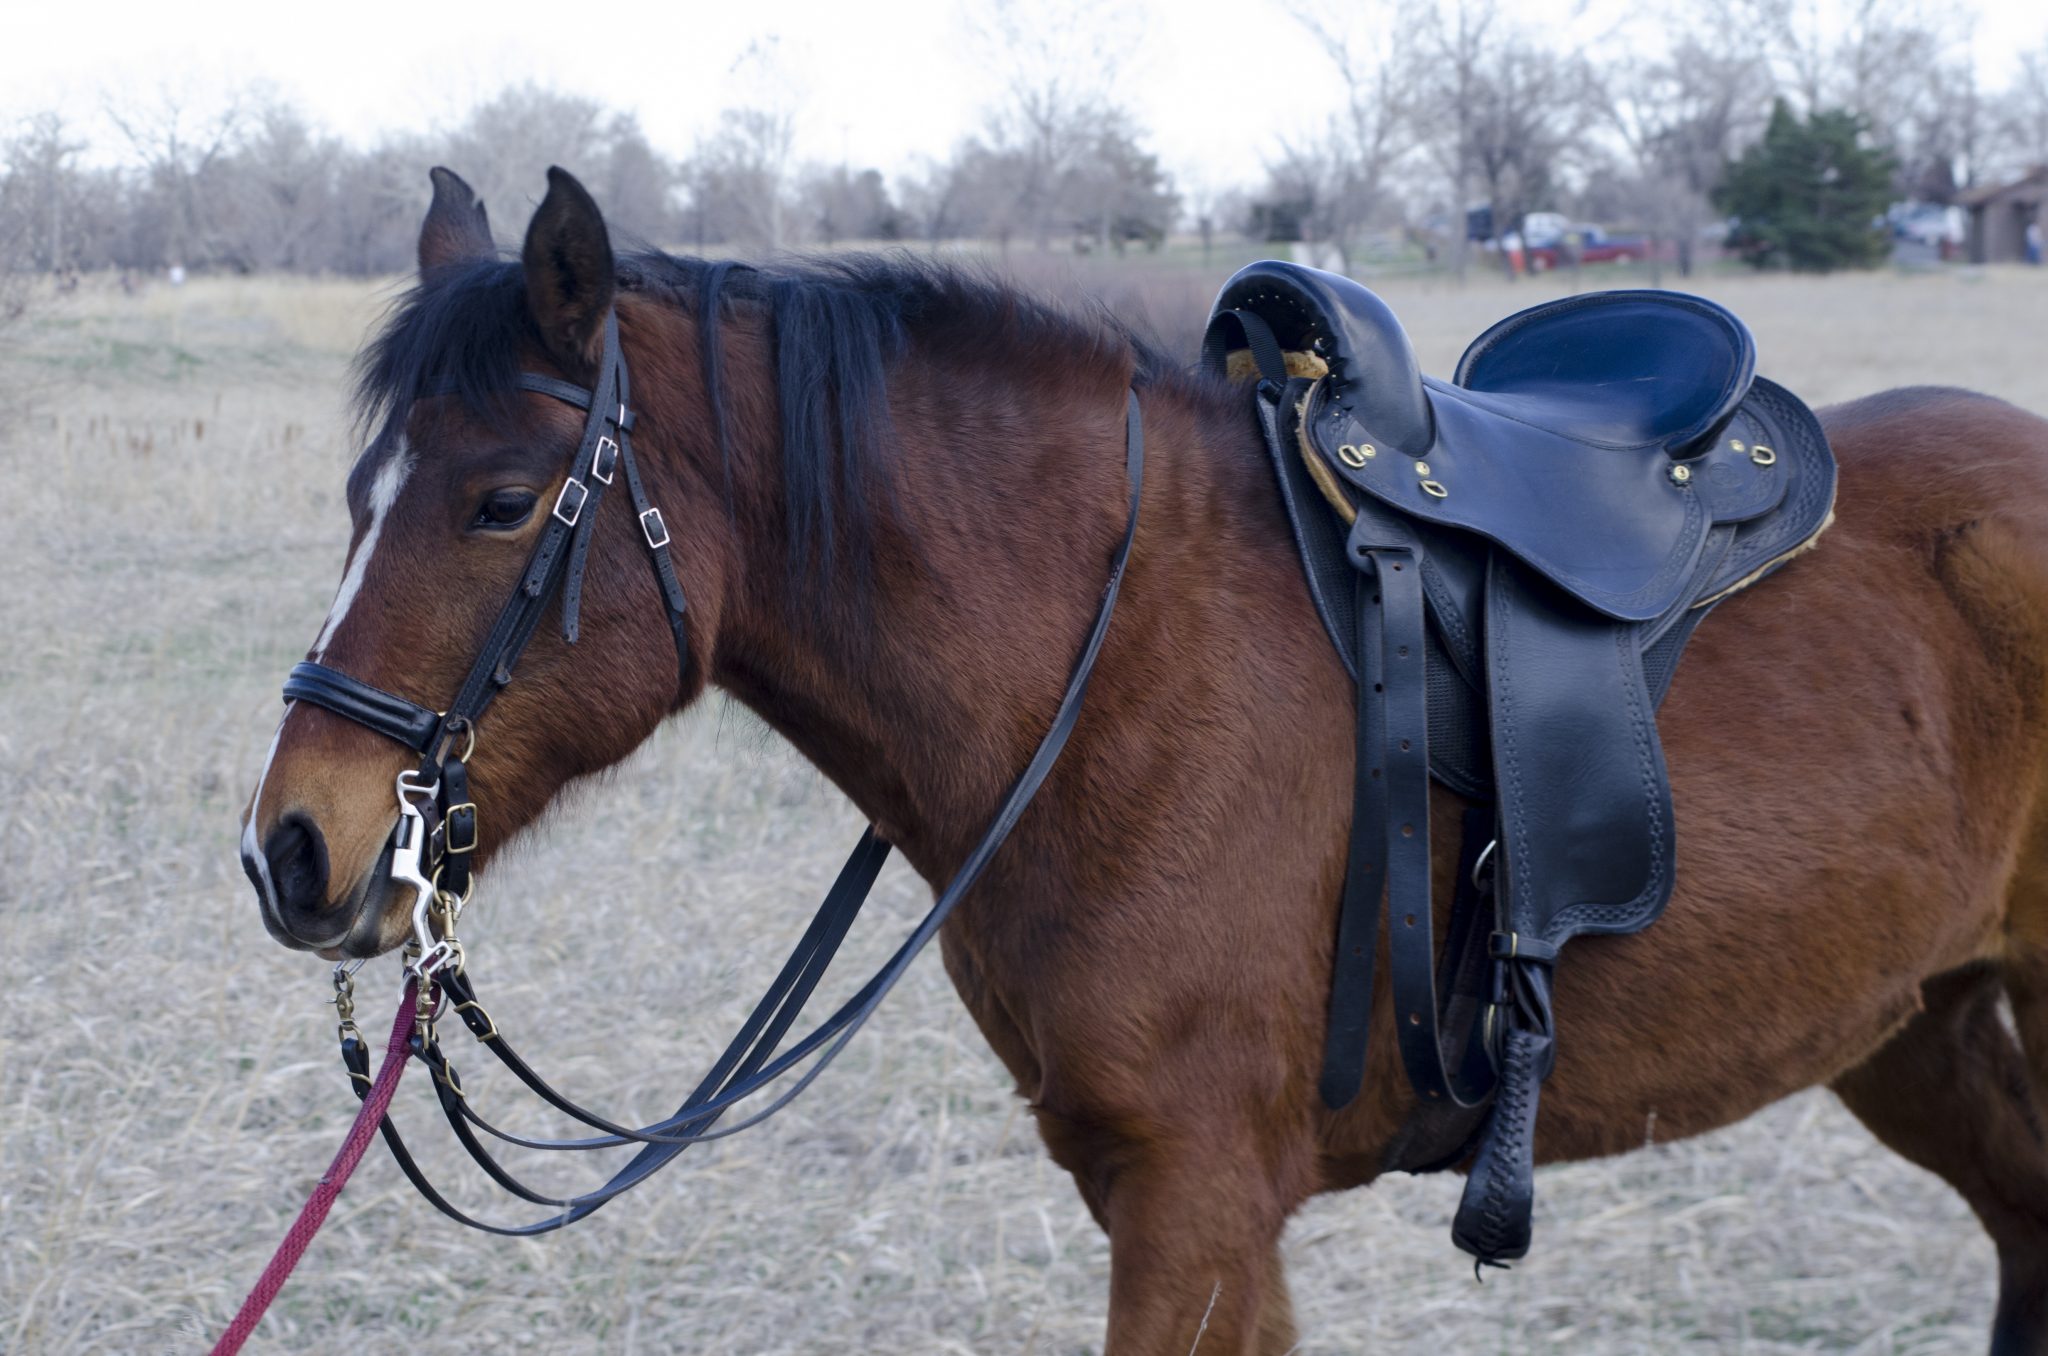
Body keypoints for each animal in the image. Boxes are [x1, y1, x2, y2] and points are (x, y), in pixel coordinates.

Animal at [243, 173, 2048, 1356]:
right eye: (351, 494)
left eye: (498, 500)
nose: (294, 850)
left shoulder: (1194, 1202)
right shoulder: (1178, 1205)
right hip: (1912, 1023)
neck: (1113, 663)